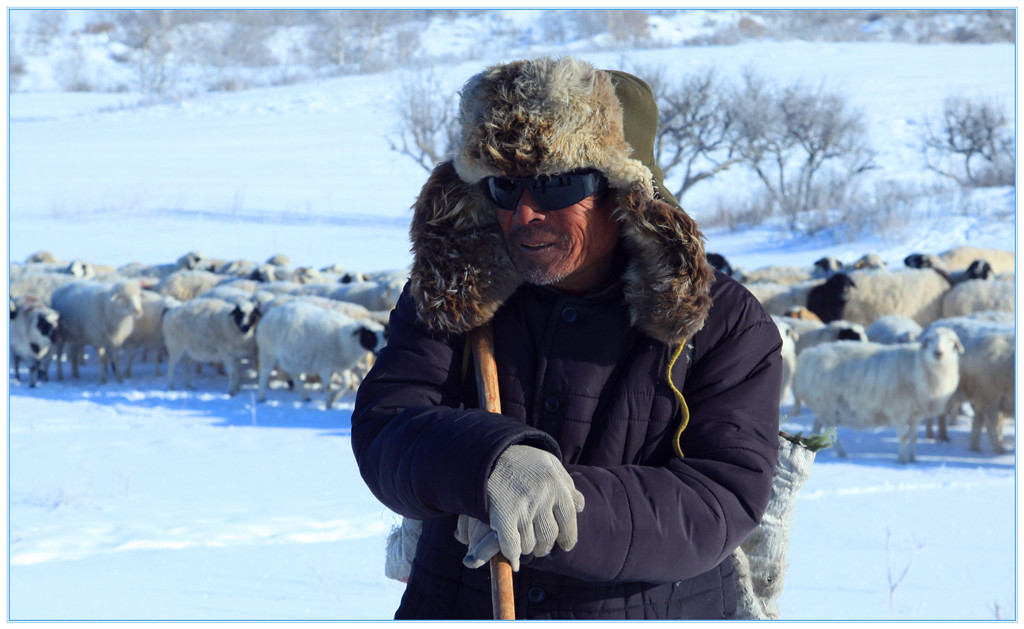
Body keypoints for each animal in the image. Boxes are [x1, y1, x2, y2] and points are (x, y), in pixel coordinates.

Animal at [256, 301, 387, 409]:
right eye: (369, 335)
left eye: (383, 335)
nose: (378, 351)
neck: (343, 338)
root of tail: (269, 314)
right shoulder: (325, 366)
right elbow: (328, 385)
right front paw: (329, 403)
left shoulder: (340, 366)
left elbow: (347, 383)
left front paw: (334, 398)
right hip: (268, 351)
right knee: (264, 373)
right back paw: (261, 397)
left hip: (290, 357)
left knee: (294, 374)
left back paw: (305, 396)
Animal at [790, 327, 966, 465]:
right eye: (929, 340)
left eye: (952, 342)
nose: (938, 353)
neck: (918, 366)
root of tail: (807, 355)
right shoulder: (898, 411)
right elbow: (903, 437)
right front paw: (902, 460)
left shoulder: (915, 414)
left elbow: (914, 437)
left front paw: (913, 459)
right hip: (827, 406)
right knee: (831, 433)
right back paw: (842, 454)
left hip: (823, 407)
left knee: (817, 426)